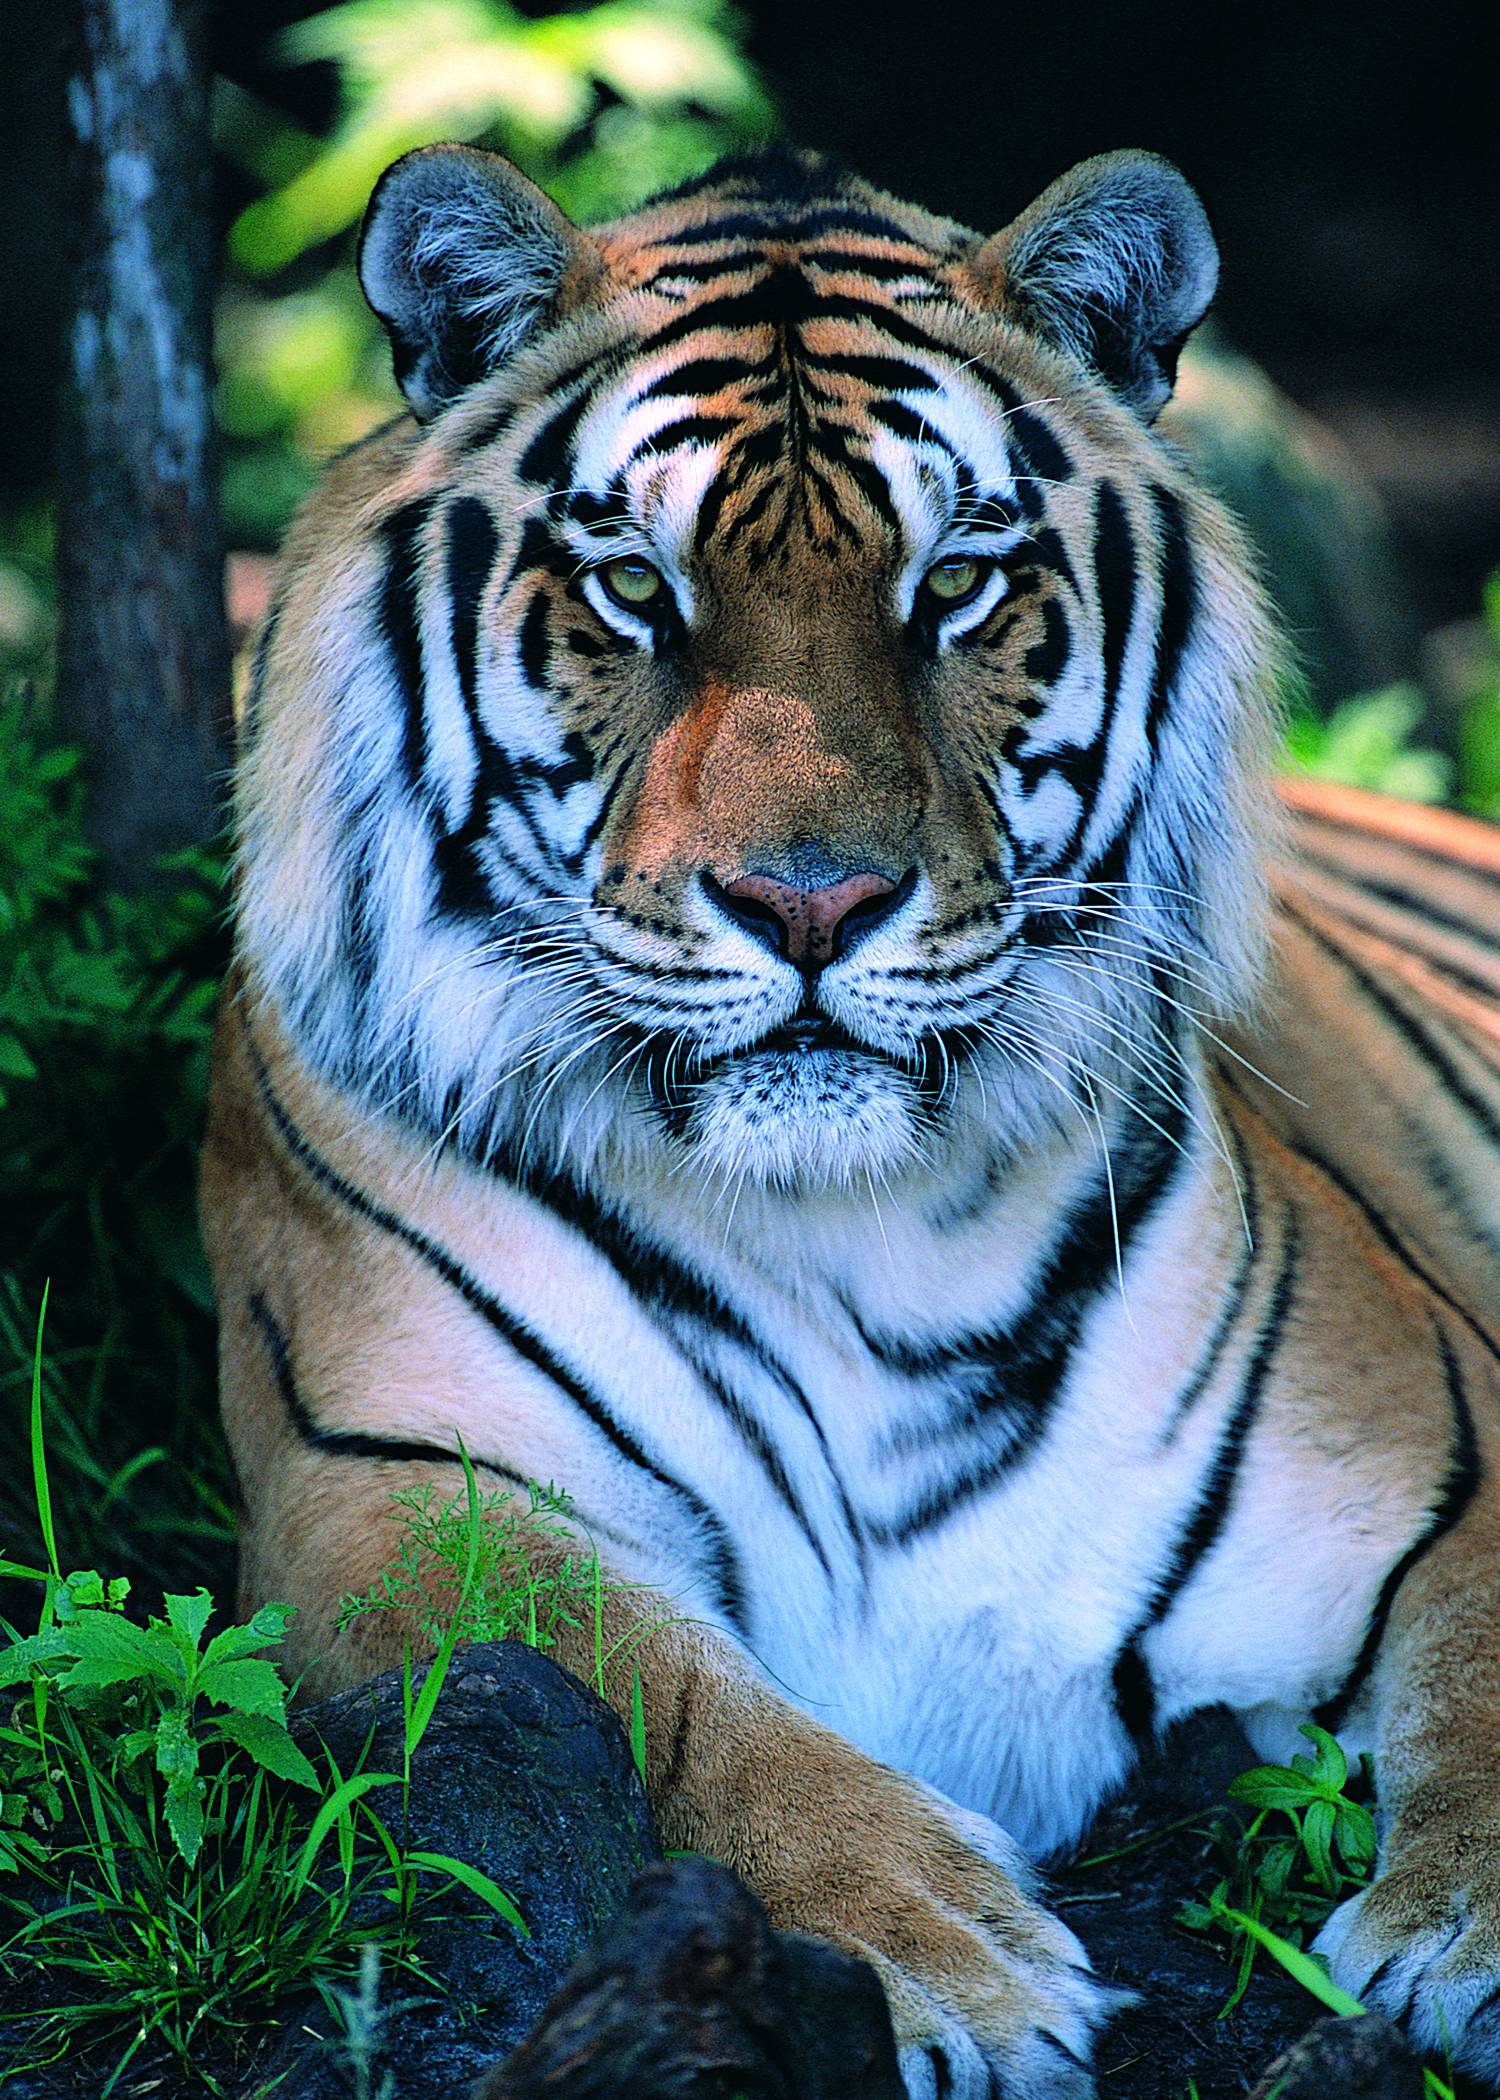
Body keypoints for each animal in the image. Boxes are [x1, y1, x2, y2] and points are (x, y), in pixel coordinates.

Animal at [204, 148, 1495, 2100]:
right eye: (633, 586)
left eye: (956, 583)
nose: (810, 903)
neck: (842, 1226)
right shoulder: (396, 1493)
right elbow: (681, 1709)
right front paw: (947, 1960)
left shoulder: (1435, 1455)